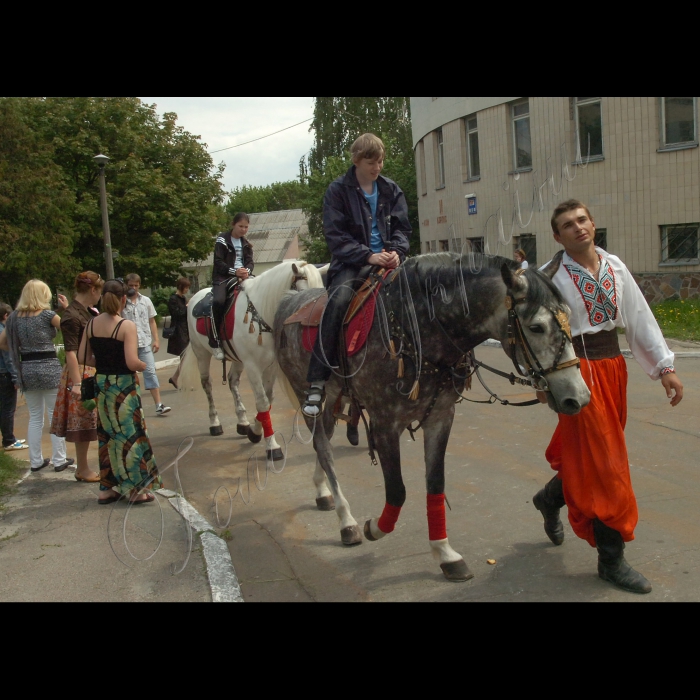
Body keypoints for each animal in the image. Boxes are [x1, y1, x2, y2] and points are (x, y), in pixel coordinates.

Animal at [179, 258, 324, 460]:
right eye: (303, 294)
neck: (261, 313)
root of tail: (195, 297)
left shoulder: (270, 366)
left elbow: (268, 399)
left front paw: (255, 431)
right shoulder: (253, 366)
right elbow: (262, 401)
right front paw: (272, 446)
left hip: (237, 360)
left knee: (233, 381)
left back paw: (242, 421)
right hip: (202, 354)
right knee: (207, 385)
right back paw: (215, 423)